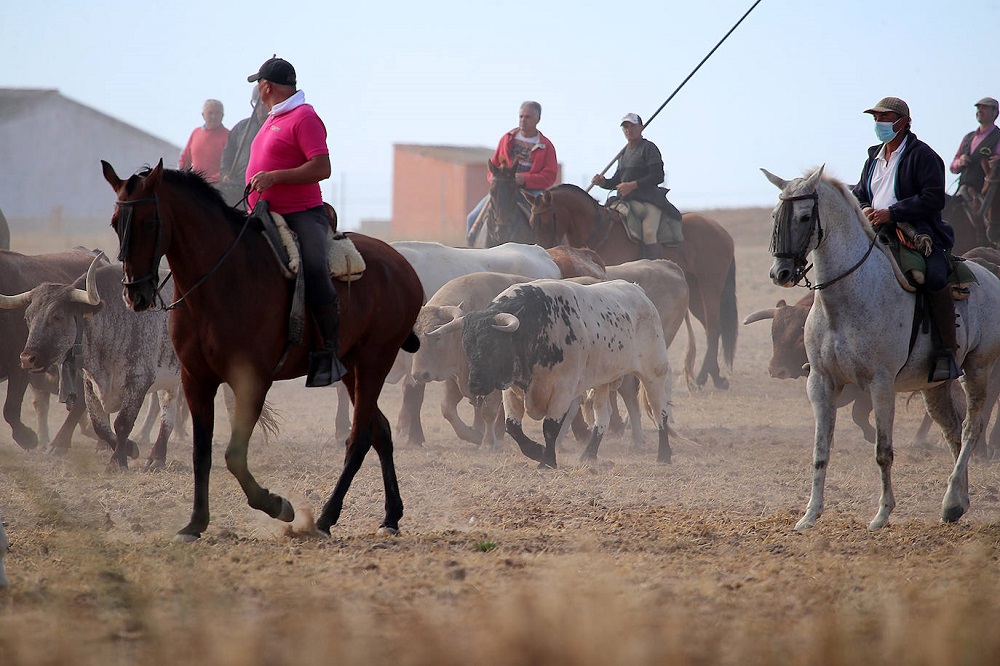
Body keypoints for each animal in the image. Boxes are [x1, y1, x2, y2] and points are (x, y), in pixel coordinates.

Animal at [103, 160, 424, 540]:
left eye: (149, 222)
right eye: (115, 222)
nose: (134, 294)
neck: (222, 279)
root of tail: (402, 266)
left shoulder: (252, 381)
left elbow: (234, 455)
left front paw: (277, 505)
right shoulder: (196, 380)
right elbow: (201, 452)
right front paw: (195, 522)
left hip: (376, 361)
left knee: (359, 439)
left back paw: (326, 517)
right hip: (351, 367)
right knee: (381, 432)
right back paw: (391, 516)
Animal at [528, 184, 740, 386]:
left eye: (546, 220)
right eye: (531, 222)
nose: (541, 248)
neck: (601, 232)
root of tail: (721, 231)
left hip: (710, 285)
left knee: (713, 327)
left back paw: (706, 376)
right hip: (695, 290)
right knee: (711, 328)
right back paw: (715, 376)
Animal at [760, 166, 1000, 528]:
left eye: (803, 216)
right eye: (775, 215)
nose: (782, 272)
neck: (844, 301)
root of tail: (991, 276)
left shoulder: (880, 385)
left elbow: (883, 451)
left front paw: (883, 513)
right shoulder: (821, 383)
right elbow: (820, 451)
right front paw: (810, 514)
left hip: (978, 368)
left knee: (972, 426)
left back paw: (953, 496)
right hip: (935, 384)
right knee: (952, 430)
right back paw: (956, 502)